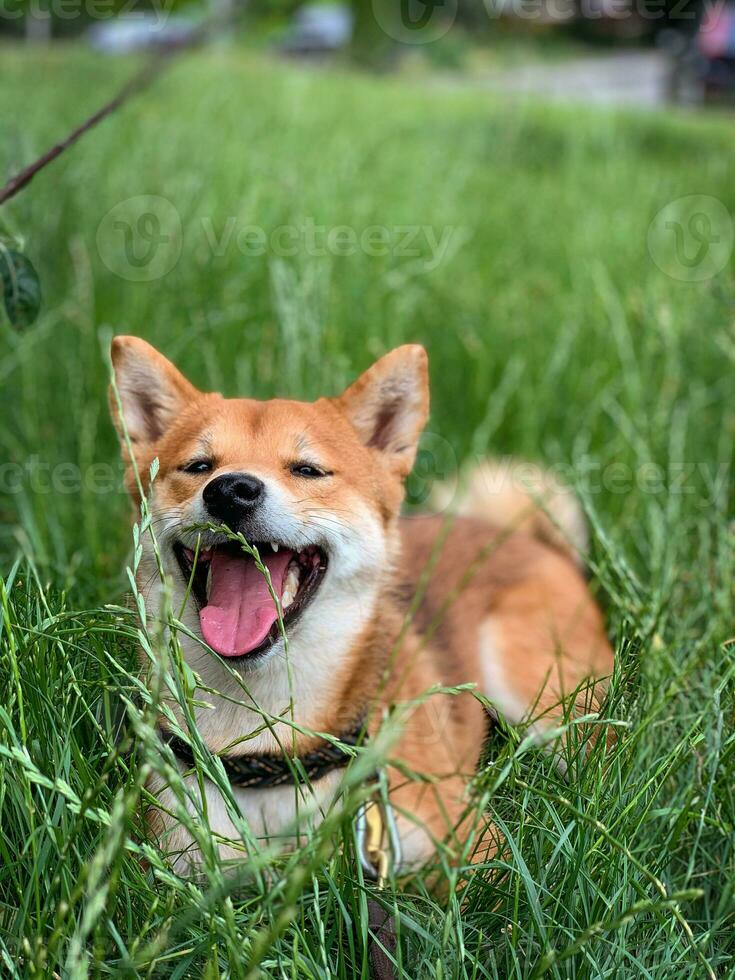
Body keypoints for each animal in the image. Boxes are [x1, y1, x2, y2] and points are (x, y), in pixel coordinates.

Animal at [109, 336, 616, 872]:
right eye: (199, 466)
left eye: (308, 470)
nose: (230, 490)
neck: (268, 753)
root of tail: (527, 537)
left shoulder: (469, 845)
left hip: (544, 699)